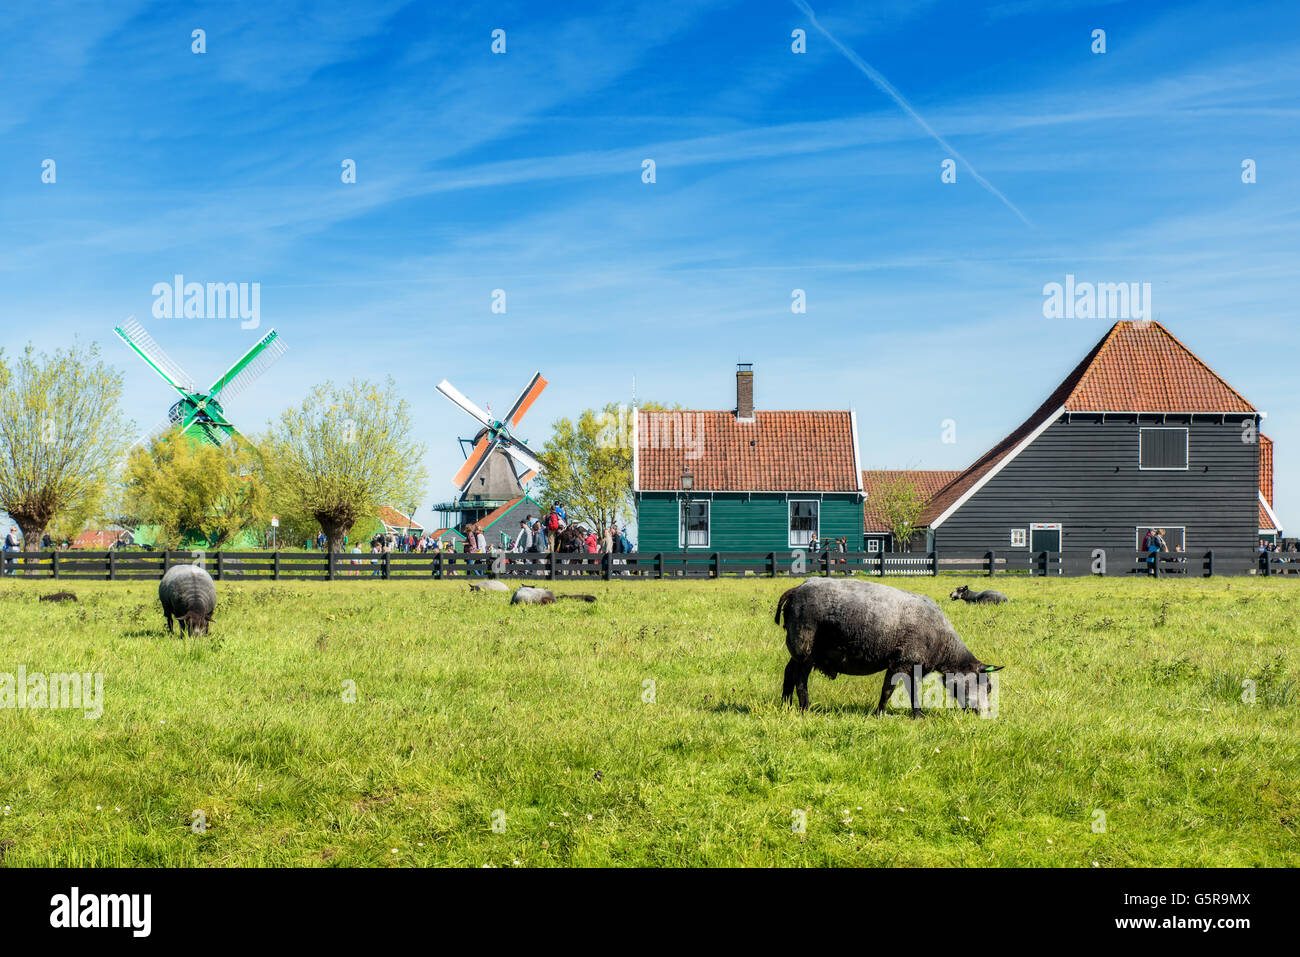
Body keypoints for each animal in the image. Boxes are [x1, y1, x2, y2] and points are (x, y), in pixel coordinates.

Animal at [769, 574, 1003, 717]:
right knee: (800, 679)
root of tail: (797, 588)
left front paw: (907, 714)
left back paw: (786, 704)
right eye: (988, 686)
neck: (943, 643)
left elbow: (902, 690)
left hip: (799, 648)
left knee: (788, 673)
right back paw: (805, 708)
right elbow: (892, 690)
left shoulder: (906, 665)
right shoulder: (903, 661)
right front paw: (888, 714)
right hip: (805, 646)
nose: (984, 712)